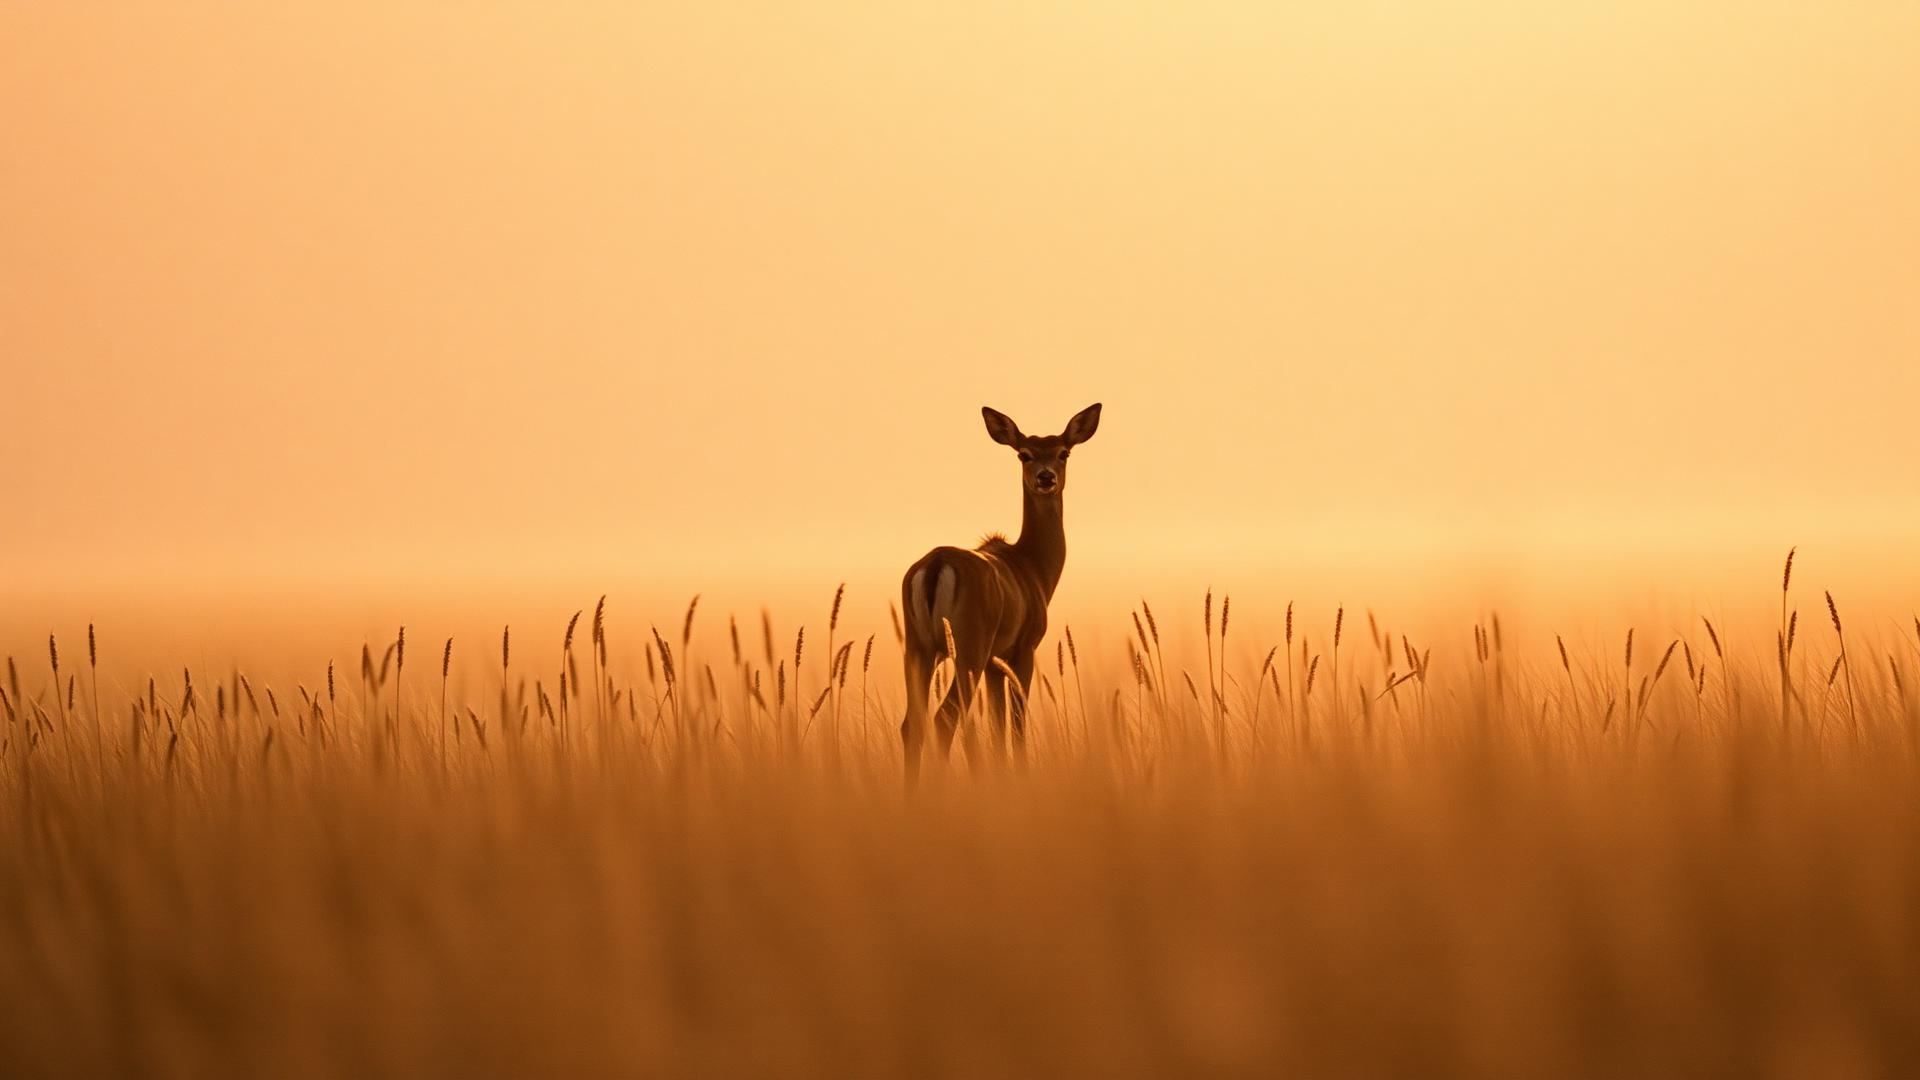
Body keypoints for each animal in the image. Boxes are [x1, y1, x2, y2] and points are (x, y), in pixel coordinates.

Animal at [899, 402, 1102, 785]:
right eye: (1024, 454)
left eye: (1063, 452)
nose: (1045, 477)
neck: (1034, 569)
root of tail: (934, 566)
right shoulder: (1023, 648)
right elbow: (1017, 726)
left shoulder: (995, 662)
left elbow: (996, 729)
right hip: (969, 645)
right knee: (945, 718)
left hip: (918, 646)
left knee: (911, 724)